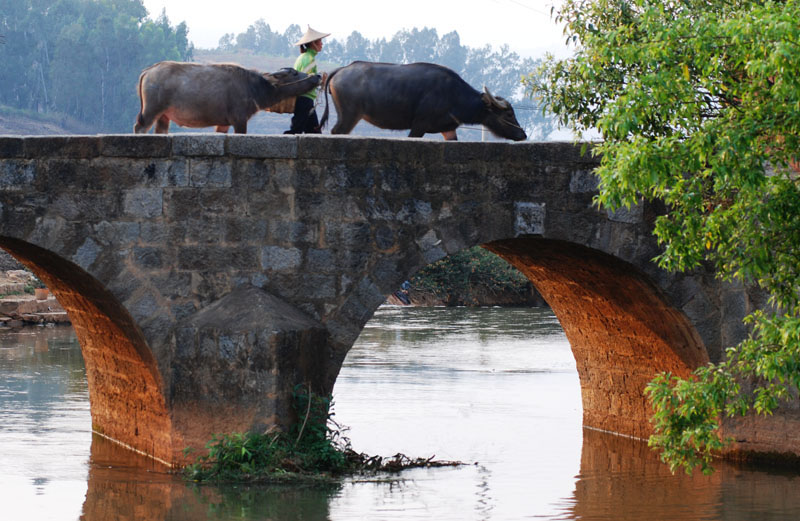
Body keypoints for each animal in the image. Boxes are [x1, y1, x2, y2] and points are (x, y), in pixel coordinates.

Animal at [133, 62, 320, 134]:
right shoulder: (239, 120)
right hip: (151, 111)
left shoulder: (223, 124)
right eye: (294, 73)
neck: (253, 87)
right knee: (139, 127)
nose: (317, 76)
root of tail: (148, 70)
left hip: (163, 116)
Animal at [322, 61, 528, 140]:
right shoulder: (418, 126)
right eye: (509, 114)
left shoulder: (448, 129)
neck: (454, 95)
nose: (523, 135)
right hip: (349, 116)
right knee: (337, 131)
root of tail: (340, 70)